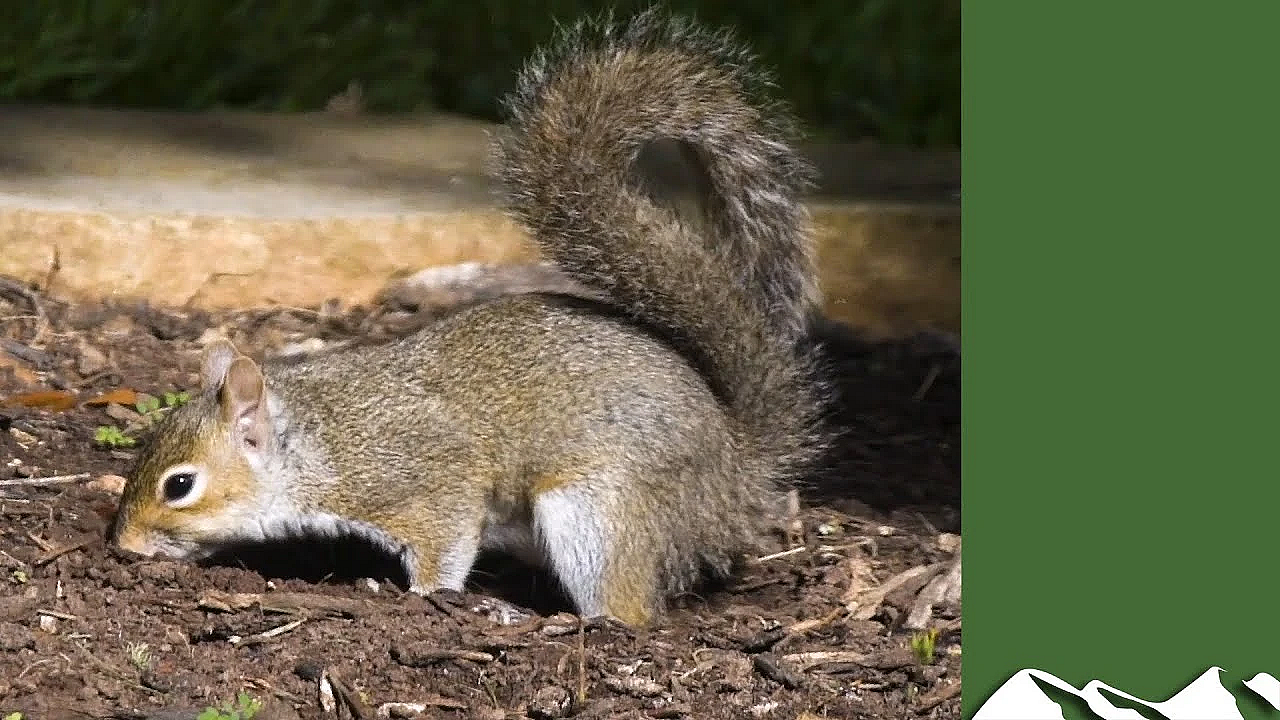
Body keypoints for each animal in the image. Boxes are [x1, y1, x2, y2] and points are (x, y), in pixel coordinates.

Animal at [108, 7, 830, 626]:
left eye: (180, 485)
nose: (123, 547)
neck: (313, 441)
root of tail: (734, 480)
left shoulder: (428, 479)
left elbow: (446, 542)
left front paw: (420, 595)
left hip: (600, 510)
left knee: (628, 610)